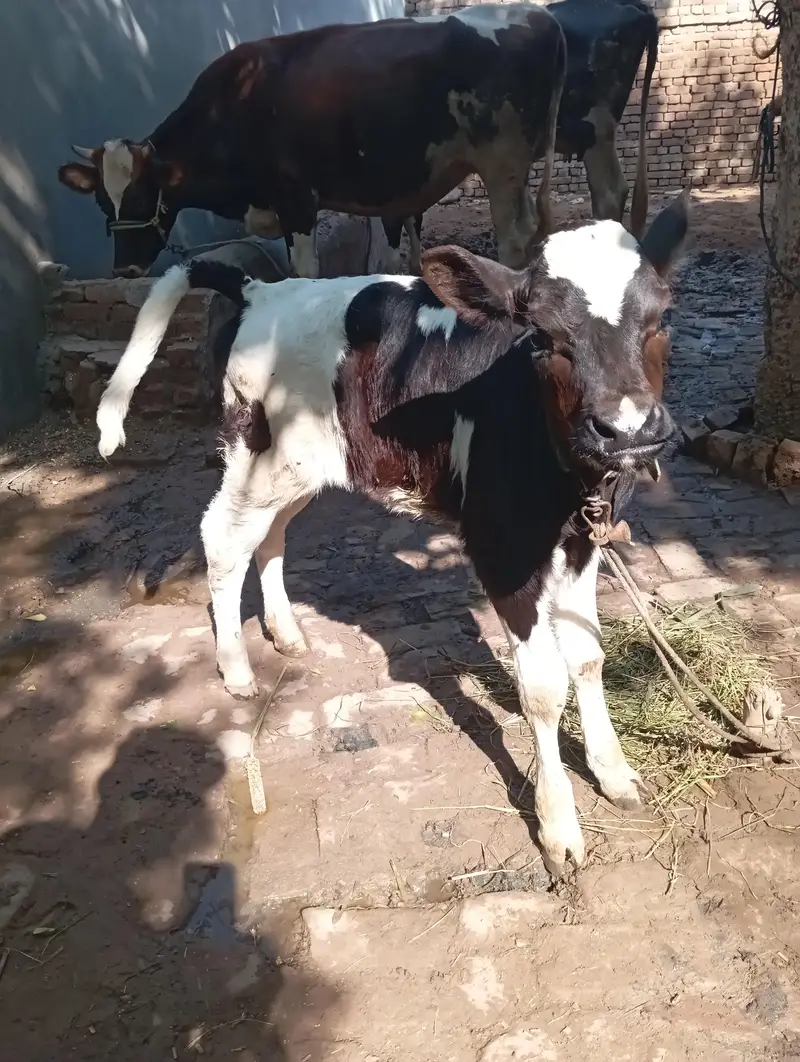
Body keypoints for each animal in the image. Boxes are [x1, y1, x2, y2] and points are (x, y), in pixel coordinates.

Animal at [57, 4, 566, 280]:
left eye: (145, 196)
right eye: (102, 203)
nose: (124, 270)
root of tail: (535, 13)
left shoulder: (296, 199)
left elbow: (304, 272)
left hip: (502, 165)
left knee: (513, 243)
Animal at [93, 193, 688, 875]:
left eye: (663, 316)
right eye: (541, 334)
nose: (629, 429)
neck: (569, 476)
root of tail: (259, 291)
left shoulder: (584, 539)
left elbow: (588, 657)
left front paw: (614, 774)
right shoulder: (502, 547)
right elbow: (542, 687)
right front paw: (558, 824)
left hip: (306, 467)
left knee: (269, 536)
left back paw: (285, 633)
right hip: (257, 452)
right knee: (223, 535)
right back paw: (237, 668)